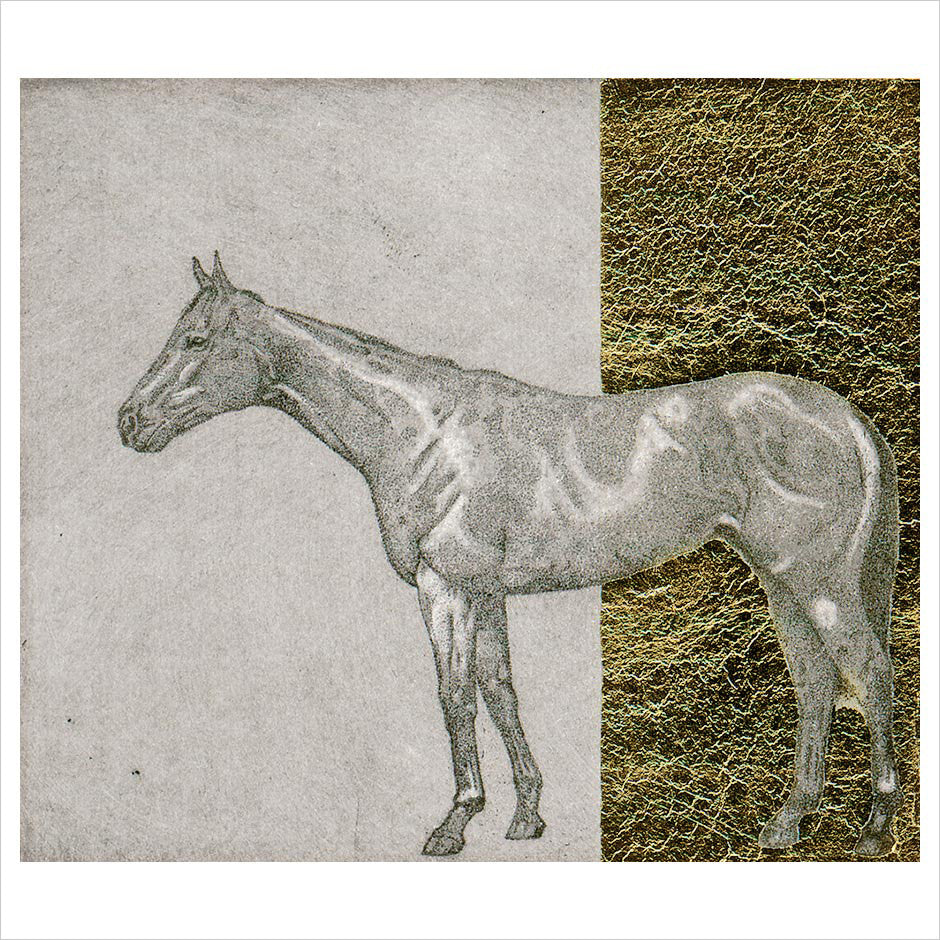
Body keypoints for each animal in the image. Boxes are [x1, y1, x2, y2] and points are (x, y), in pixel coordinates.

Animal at [118, 253, 903, 857]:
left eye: (194, 340)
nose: (129, 423)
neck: (425, 435)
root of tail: (849, 420)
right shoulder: (485, 593)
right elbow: (500, 690)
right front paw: (526, 815)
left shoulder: (444, 587)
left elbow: (455, 695)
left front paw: (454, 822)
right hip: (782, 582)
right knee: (816, 683)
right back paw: (788, 822)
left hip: (821, 582)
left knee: (868, 673)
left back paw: (873, 827)